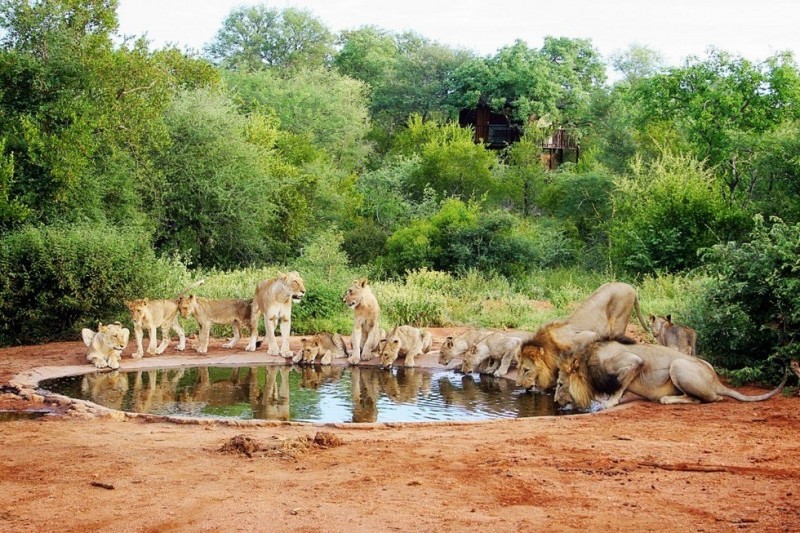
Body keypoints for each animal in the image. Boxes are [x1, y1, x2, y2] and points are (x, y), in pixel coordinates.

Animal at [512, 282, 648, 390]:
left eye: (526, 370)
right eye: (518, 368)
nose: (517, 385)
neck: (553, 349)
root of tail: (630, 286)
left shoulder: (588, 336)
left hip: (619, 322)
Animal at [552, 338, 788, 410]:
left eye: (560, 384)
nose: (554, 401)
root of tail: (716, 381)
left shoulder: (632, 362)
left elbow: (619, 386)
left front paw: (608, 402)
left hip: (678, 365)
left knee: (708, 399)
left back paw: (667, 399)